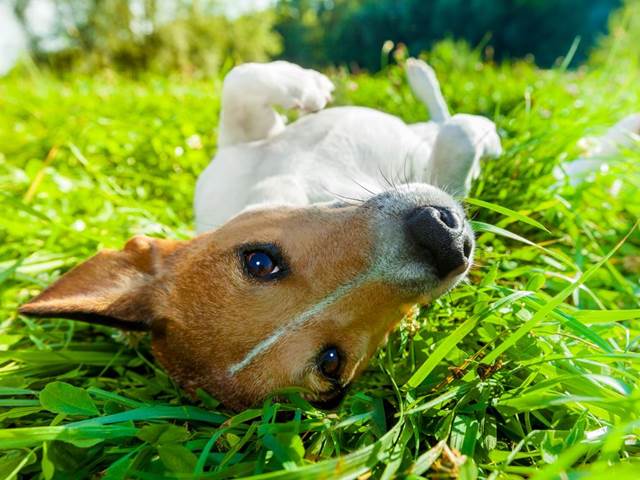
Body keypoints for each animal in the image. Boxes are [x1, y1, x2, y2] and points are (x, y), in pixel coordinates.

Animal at [18, 58, 500, 408]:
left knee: (435, 118)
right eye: (331, 363)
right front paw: (472, 133)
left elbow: (241, 79)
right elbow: (457, 144)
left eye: (258, 260)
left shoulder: (237, 147)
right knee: (444, 126)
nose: (443, 241)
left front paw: (310, 88)